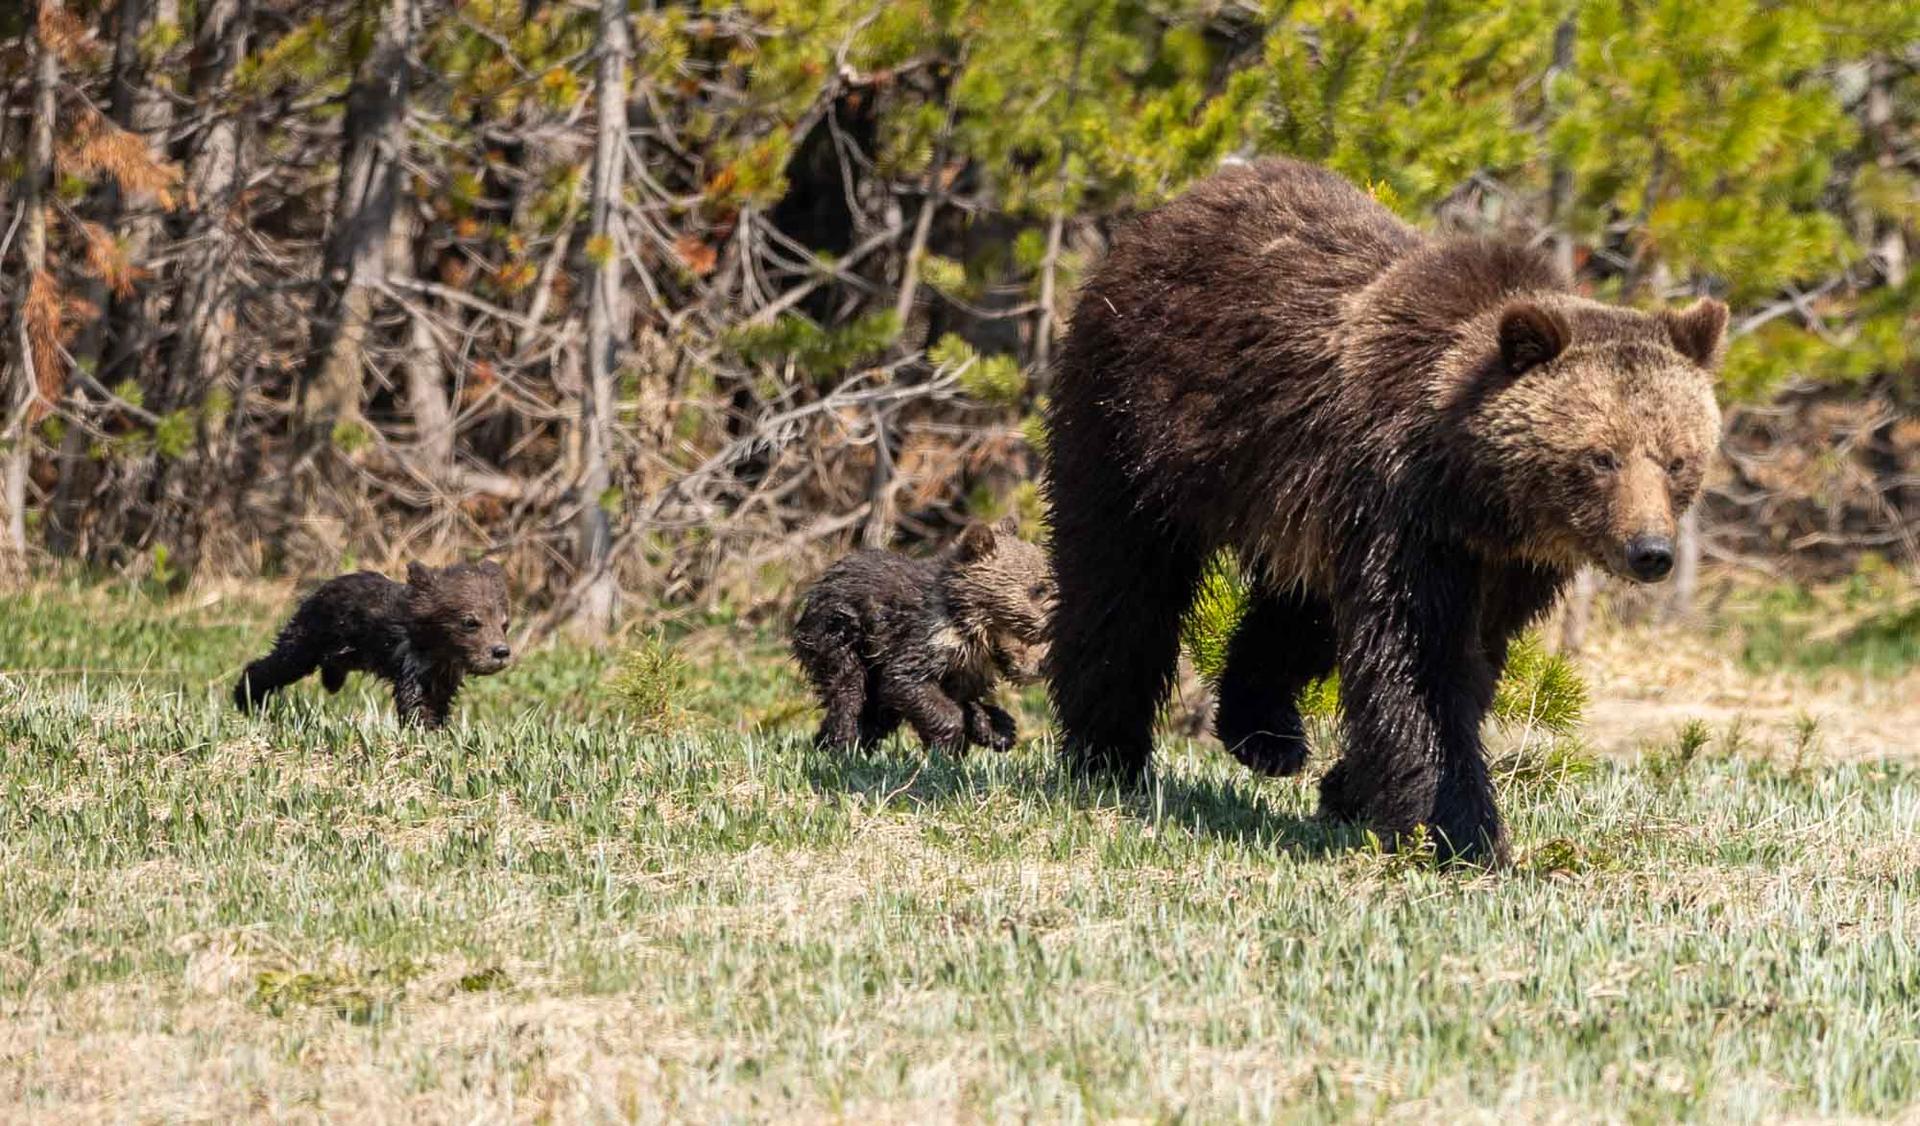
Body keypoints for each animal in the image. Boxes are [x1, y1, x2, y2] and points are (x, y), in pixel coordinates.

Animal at [233, 560, 513, 729]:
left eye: (504, 623)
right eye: (470, 622)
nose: (500, 651)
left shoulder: (442, 675)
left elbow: (439, 704)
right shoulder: (411, 663)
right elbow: (415, 703)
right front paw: (425, 734)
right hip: (310, 637)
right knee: (279, 663)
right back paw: (247, 699)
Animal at [791, 518, 1055, 754]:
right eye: (1038, 589)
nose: (1042, 665)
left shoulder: (966, 670)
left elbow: (965, 699)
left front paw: (998, 728)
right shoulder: (920, 640)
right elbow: (907, 682)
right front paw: (948, 745)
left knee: (877, 712)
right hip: (839, 634)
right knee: (849, 689)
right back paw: (843, 745)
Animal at [1042, 158, 1726, 863]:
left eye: (1677, 460)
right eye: (1602, 457)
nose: (1651, 551)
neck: (1477, 494)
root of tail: (1179, 204)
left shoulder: (1504, 565)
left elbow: (1468, 657)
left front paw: (1350, 789)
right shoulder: (1405, 513)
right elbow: (1419, 662)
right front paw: (1461, 833)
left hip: (1297, 495)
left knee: (1299, 608)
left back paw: (1267, 735)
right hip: (1137, 417)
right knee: (1121, 579)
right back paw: (1108, 750)